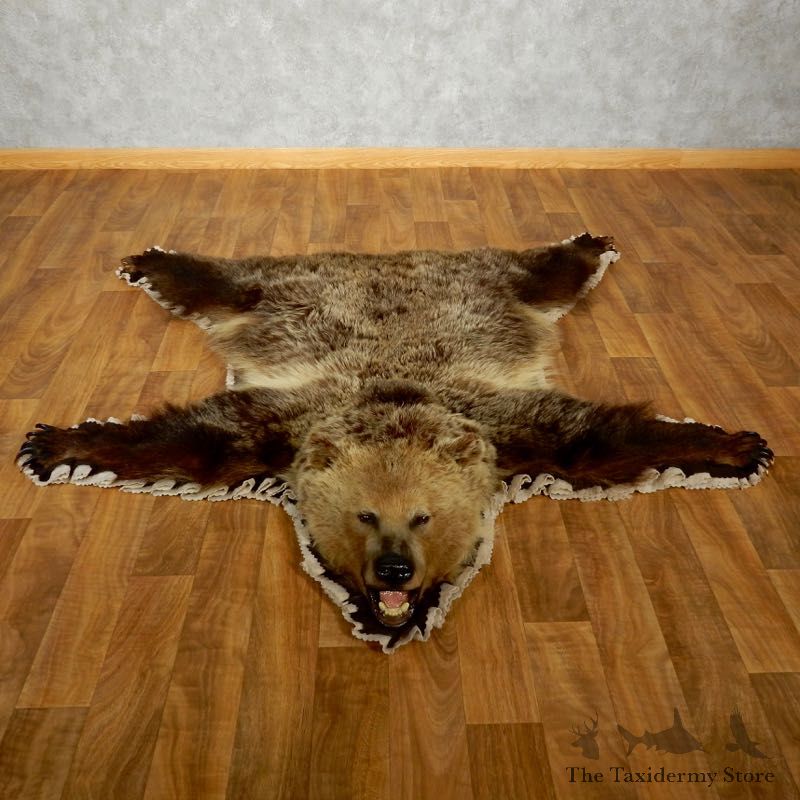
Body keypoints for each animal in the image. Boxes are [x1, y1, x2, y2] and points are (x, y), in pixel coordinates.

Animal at [17, 233, 773, 639]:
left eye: (425, 518)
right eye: (362, 517)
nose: (394, 573)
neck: (393, 399)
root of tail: (378, 256)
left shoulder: (509, 424)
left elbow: (596, 439)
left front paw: (730, 447)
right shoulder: (279, 423)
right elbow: (193, 441)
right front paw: (62, 446)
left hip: (482, 285)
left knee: (532, 270)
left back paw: (585, 245)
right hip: (281, 290)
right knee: (226, 282)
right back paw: (156, 260)